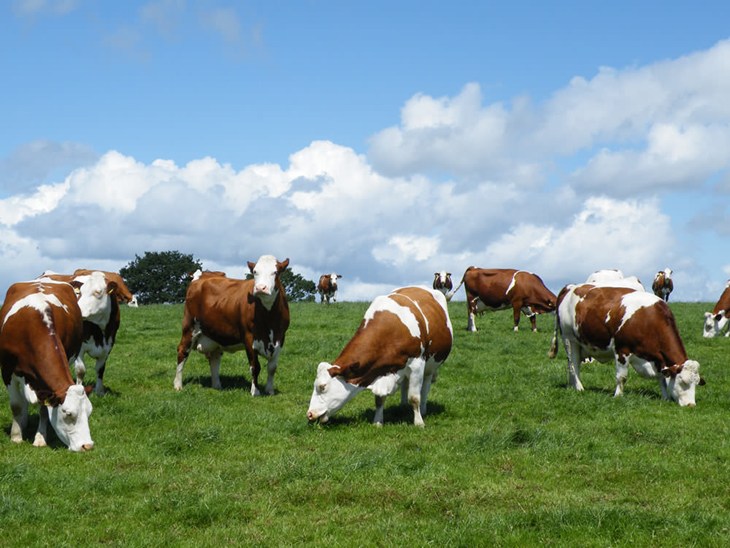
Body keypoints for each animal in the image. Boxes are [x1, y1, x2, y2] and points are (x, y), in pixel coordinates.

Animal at [0, 280, 95, 451]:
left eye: (89, 413)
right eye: (68, 413)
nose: (88, 446)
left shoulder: (45, 387)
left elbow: (44, 409)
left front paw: (40, 438)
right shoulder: (7, 371)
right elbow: (16, 405)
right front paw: (16, 436)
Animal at [175, 255, 291, 395]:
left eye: (275, 272)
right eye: (255, 272)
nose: (260, 288)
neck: (269, 319)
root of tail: (202, 275)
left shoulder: (280, 337)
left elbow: (272, 367)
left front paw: (270, 391)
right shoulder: (249, 337)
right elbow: (255, 367)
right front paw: (255, 392)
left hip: (216, 334)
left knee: (214, 358)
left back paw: (217, 386)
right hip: (189, 327)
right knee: (182, 352)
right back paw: (178, 385)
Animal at [307, 286, 452, 427]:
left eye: (322, 387)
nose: (309, 414)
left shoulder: (417, 364)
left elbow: (414, 397)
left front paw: (419, 423)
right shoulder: (379, 371)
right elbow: (379, 399)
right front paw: (377, 422)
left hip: (430, 365)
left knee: (426, 386)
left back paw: (423, 410)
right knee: (405, 384)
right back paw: (403, 406)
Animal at [548, 283, 703, 406]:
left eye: (696, 383)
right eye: (682, 382)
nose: (691, 405)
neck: (648, 320)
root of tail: (571, 286)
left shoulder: (656, 359)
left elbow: (662, 379)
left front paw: (665, 397)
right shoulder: (622, 350)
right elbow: (621, 377)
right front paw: (618, 396)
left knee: (571, 366)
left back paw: (571, 386)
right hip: (569, 339)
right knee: (573, 364)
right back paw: (579, 388)